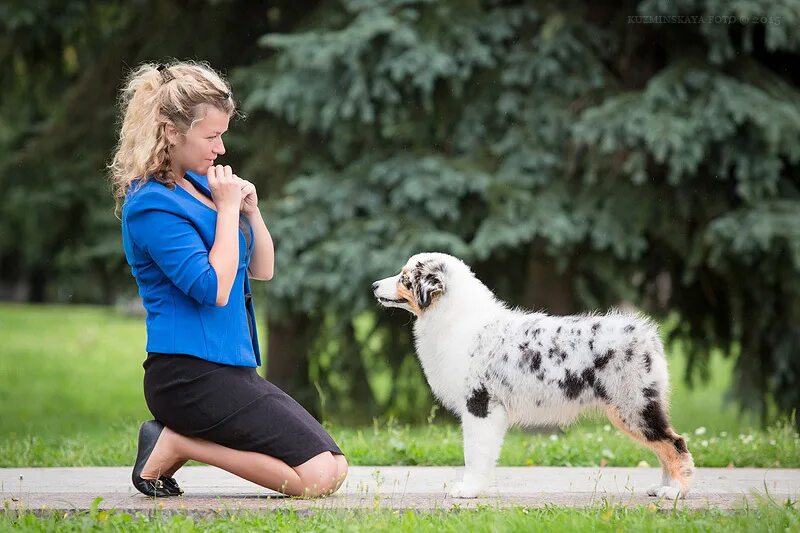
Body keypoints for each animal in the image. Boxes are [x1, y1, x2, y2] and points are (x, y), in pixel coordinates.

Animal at [374, 251, 692, 496]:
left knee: (675, 443)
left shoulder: (479, 404)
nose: (374, 284)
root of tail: (648, 335)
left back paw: (675, 492)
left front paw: (469, 490)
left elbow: (474, 452)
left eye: (404, 277)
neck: (456, 319)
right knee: (664, 446)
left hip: (633, 405)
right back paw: (662, 488)